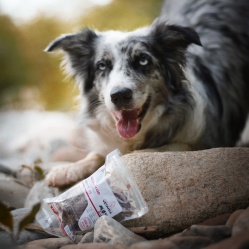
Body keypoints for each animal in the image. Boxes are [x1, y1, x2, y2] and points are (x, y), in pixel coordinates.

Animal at [44, 0, 249, 187]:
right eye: (102, 65)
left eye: (143, 60)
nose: (119, 96)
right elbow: (98, 153)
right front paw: (69, 168)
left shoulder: (199, 139)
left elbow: (159, 149)